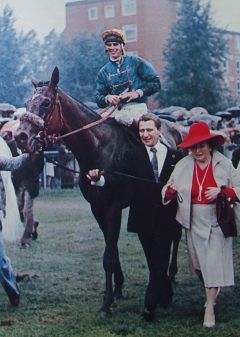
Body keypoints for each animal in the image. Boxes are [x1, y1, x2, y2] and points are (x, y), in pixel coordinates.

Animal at [15, 67, 184, 314]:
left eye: (45, 103)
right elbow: (111, 251)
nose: (20, 137)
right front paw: (117, 290)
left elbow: (109, 256)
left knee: (175, 233)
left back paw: (170, 276)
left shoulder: (113, 206)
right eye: (27, 102)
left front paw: (107, 303)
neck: (99, 147)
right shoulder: (97, 207)